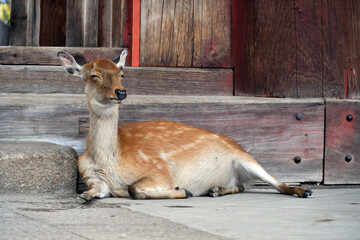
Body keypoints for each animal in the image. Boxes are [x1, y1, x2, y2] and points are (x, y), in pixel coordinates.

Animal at [57, 49, 312, 203]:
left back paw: (304, 190)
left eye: (121, 73)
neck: (112, 162)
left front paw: (183, 190)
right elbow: (91, 192)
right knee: (242, 186)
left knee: (278, 184)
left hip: (244, 157)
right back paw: (216, 190)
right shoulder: (91, 177)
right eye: (94, 75)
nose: (121, 92)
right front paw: (85, 196)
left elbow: (134, 189)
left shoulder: (159, 170)